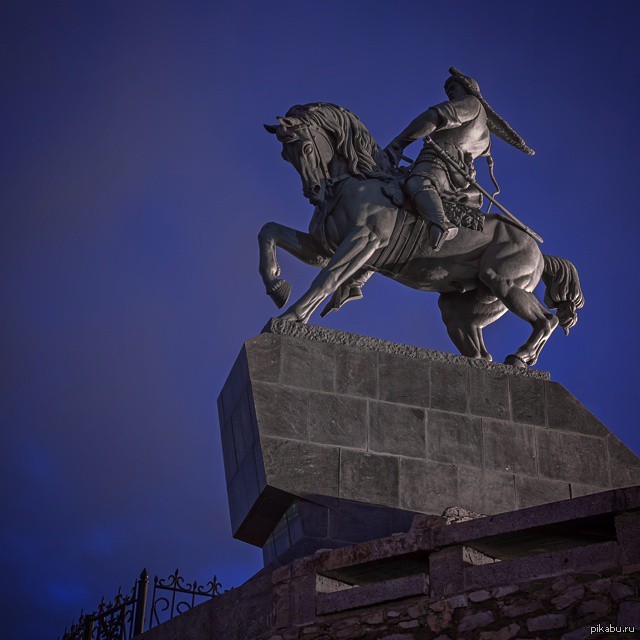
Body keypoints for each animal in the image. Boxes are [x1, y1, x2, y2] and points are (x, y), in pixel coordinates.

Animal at [258, 102, 584, 368]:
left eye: (305, 147)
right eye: (285, 155)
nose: (314, 192)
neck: (356, 181)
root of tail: (541, 254)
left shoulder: (364, 240)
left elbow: (328, 277)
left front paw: (291, 317)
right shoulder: (322, 247)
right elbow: (269, 231)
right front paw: (276, 287)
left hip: (506, 285)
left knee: (547, 320)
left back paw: (520, 357)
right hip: (462, 310)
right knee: (482, 351)